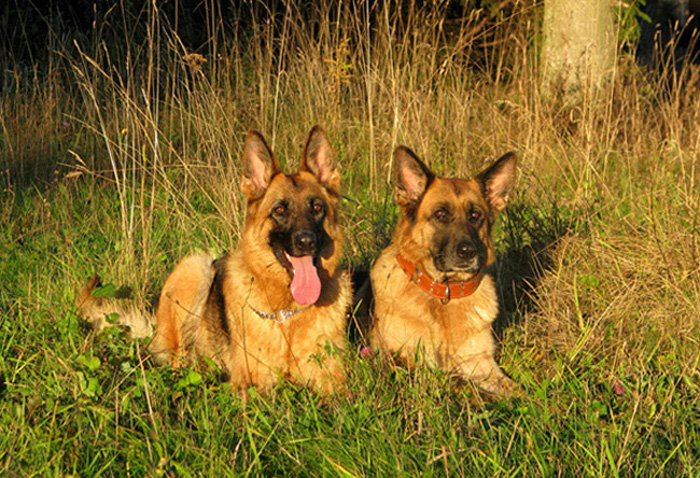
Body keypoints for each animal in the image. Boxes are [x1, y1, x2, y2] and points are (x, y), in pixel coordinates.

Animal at [78, 125, 350, 394]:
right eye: (280, 210)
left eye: (317, 208)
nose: (306, 242)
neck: (288, 312)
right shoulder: (249, 383)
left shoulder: (334, 382)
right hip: (195, 268)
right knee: (179, 363)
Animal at [370, 147, 516, 396]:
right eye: (440, 214)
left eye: (475, 216)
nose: (468, 252)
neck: (444, 293)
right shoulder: (407, 363)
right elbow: (459, 382)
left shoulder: (481, 364)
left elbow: (516, 389)